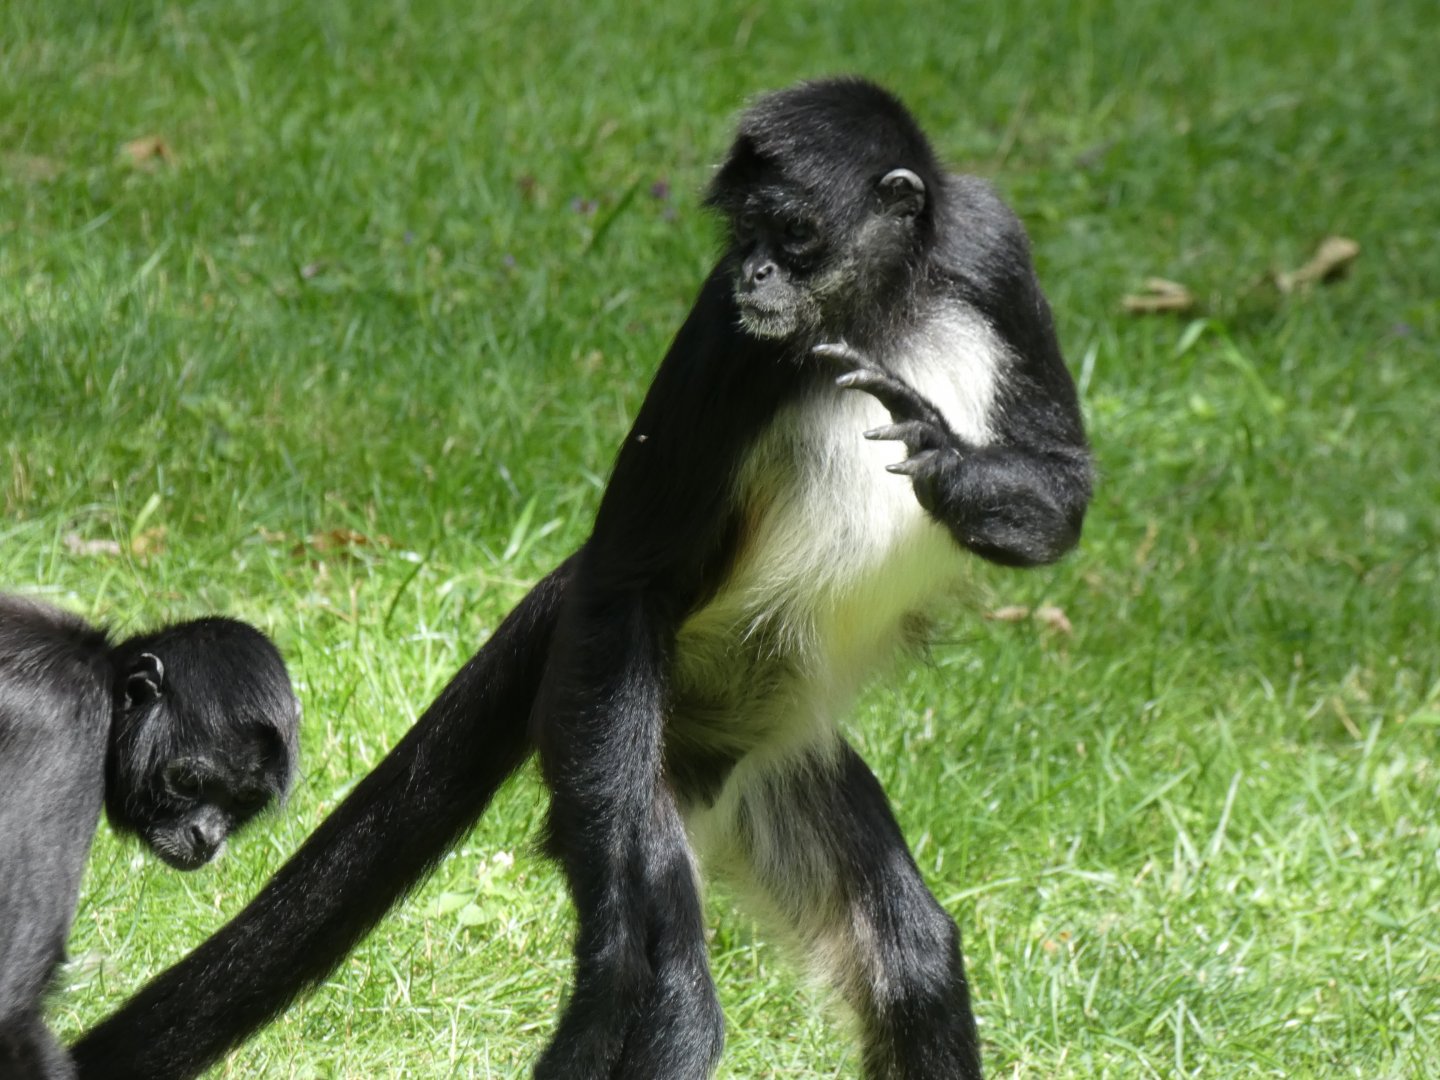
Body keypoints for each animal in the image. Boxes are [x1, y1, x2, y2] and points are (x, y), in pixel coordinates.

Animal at [0, 595, 299, 1079]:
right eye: (189, 782)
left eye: (244, 800)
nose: (207, 836)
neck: (100, 668)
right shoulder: (65, 723)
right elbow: (10, 1008)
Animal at [72, 77, 1090, 1079]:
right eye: (743, 236)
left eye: (793, 235)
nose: (755, 275)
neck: (880, 312)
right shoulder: (728, 335)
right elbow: (635, 578)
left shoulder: (989, 247)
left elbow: (1068, 488)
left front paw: (950, 468)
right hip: (610, 731)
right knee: (669, 994)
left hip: (759, 761)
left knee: (911, 959)